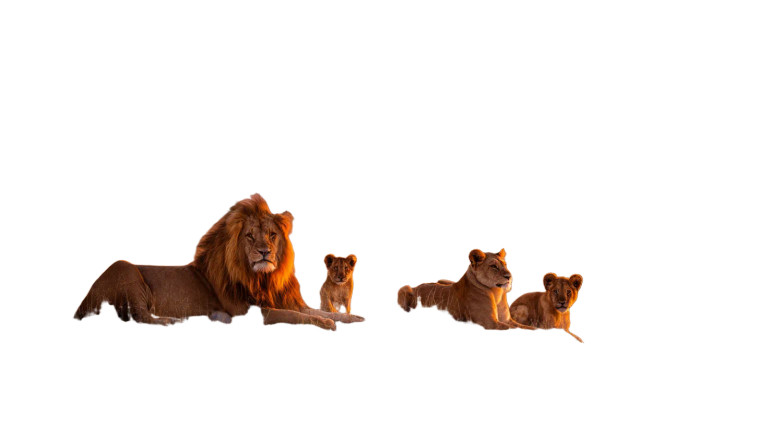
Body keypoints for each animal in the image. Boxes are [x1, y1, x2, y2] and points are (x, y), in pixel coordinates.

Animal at [73, 194, 364, 330]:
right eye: (250, 235)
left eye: (272, 235)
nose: (264, 252)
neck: (266, 277)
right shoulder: (263, 311)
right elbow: (302, 317)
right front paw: (327, 324)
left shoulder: (288, 301)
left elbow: (322, 311)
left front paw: (351, 317)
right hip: (124, 267)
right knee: (140, 316)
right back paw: (172, 320)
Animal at [397, 249, 534, 330]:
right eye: (494, 266)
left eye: (505, 265)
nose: (509, 276)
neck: (497, 294)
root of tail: (416, 286)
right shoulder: (489, 322)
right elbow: (513, 328)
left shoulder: (507, 320)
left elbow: (524, 327)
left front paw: (535, 329)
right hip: (404, 288)